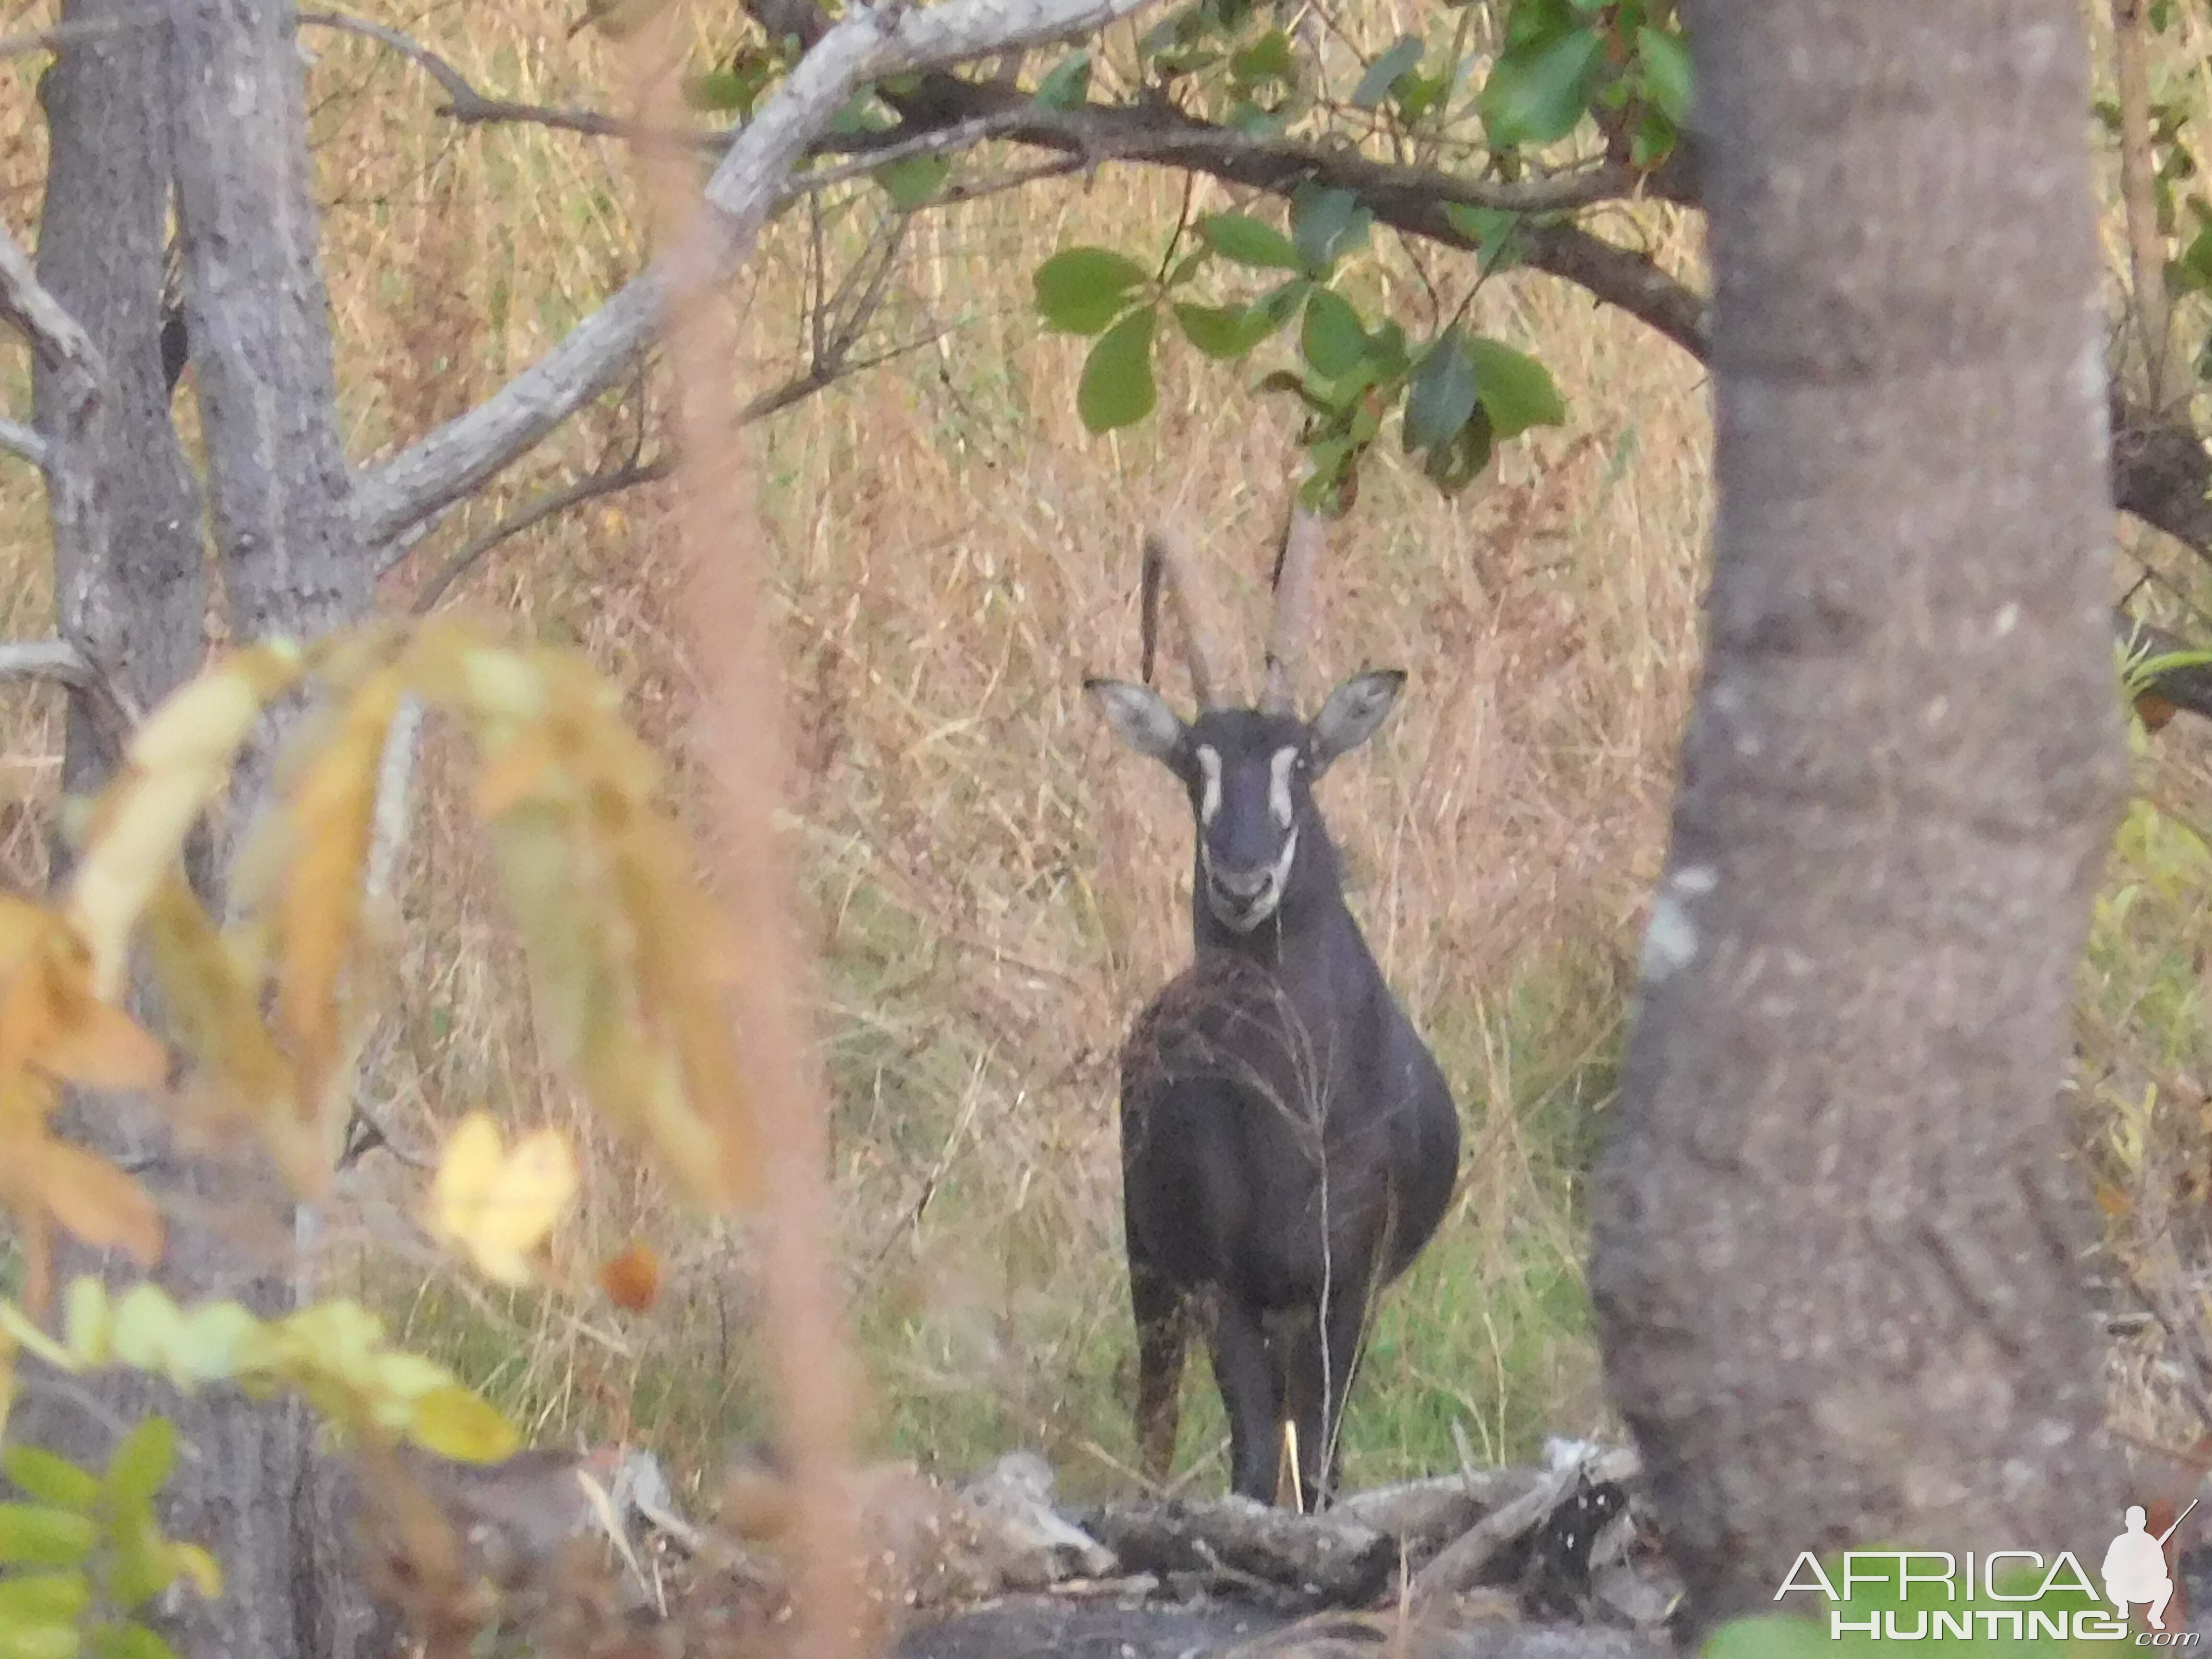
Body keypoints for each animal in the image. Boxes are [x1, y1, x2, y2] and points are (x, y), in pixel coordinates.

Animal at [1079, 513, 1460, 1513]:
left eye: (1304, 759)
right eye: (1192, 765)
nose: (1243, 881)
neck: (1290, 1109)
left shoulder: (1343, 1287)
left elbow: (1316, 1466)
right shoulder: (1221, 1287)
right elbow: (1254, 1464)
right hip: (1149, 1265)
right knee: (1158, 1415)